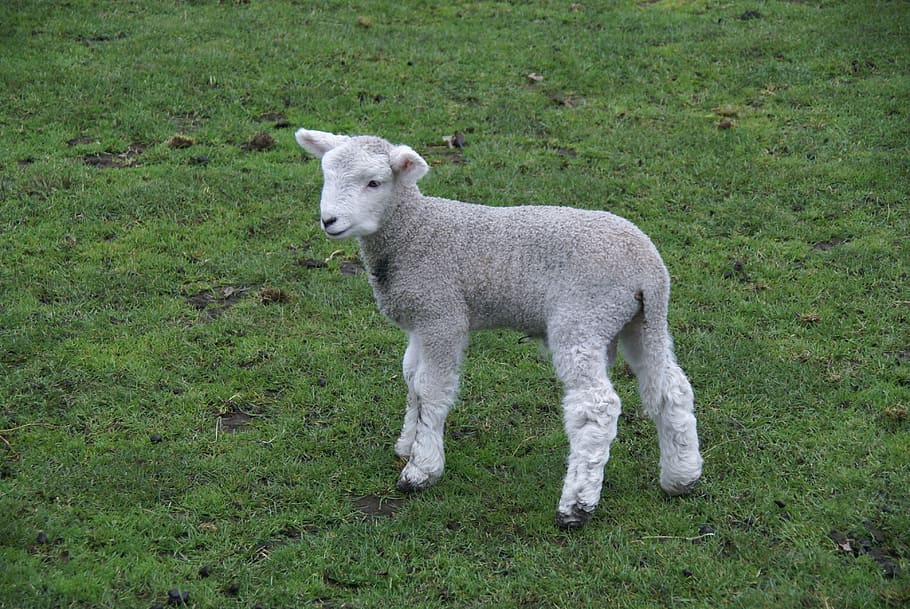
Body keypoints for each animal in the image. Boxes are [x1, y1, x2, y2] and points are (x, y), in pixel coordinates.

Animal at [296, 129, 700, 528]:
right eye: (326, 174)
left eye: (374, 182)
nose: (329, 220)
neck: (413, 232)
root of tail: (649, 269)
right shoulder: (420, 321)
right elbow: (412, 381)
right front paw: (407, 442)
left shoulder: (442, 315)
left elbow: (431, 390)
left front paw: (421, 468)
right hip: (639, 322)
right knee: (672, 389)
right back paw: (682, 477)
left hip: (583, 316)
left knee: (597, 405)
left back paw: (576, 505)